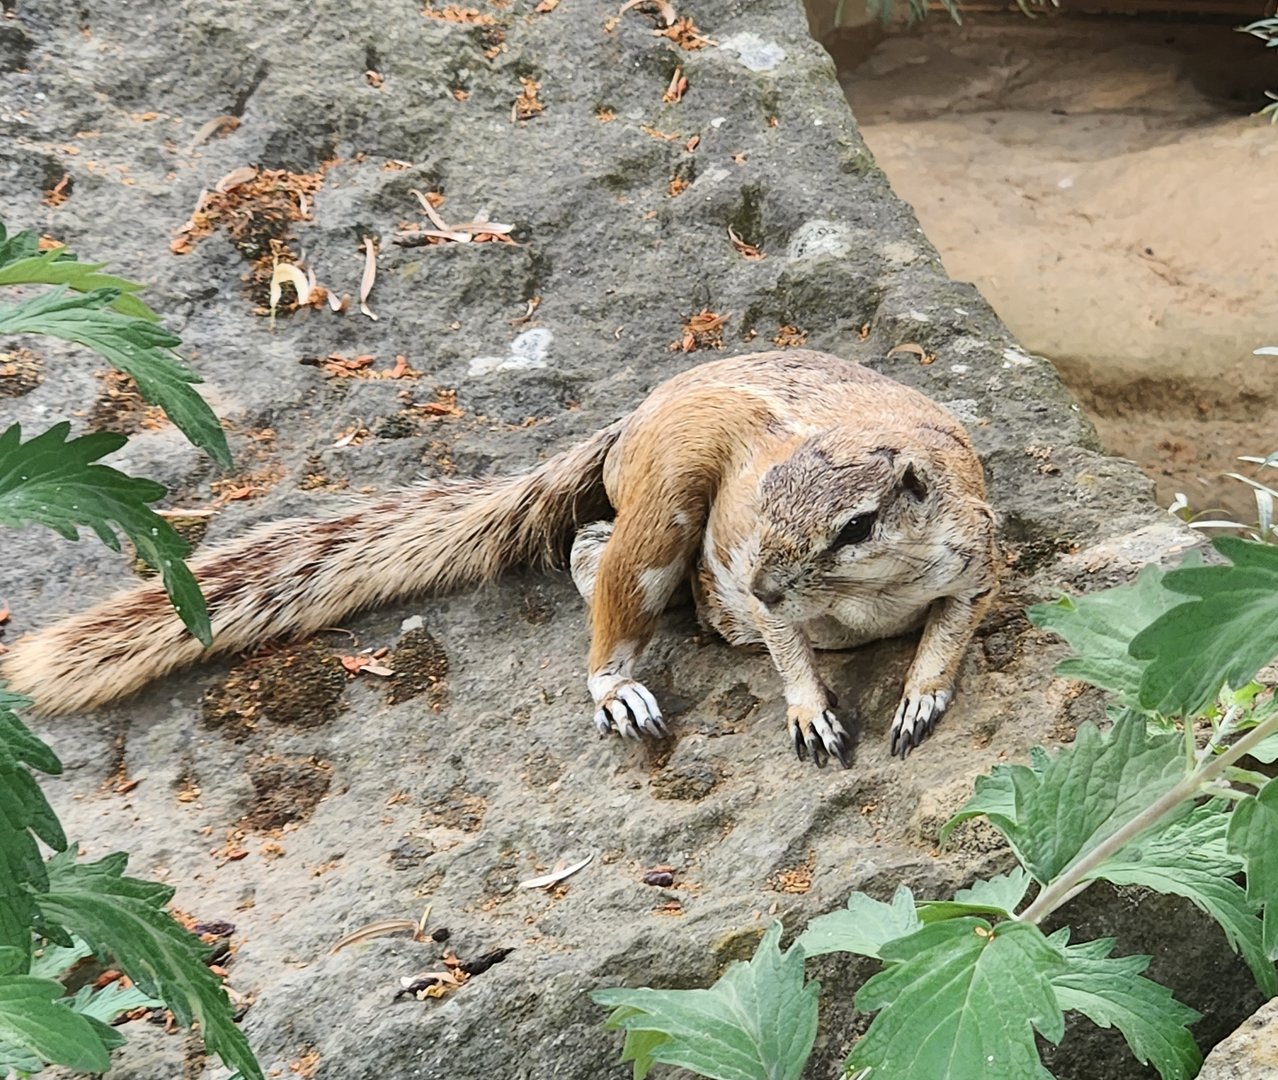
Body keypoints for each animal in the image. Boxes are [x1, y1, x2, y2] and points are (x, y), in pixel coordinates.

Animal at [0, 350, 998, 767]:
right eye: (762, 501)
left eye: (857, 526)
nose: (759, 580)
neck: (865, 596)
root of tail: (631, 420)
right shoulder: (764, 585)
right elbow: (789, 646)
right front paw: (810, 710)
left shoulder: (974, 559)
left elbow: (950, 633)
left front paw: (918, 699)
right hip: (669, 507)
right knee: (610, 571)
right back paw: (618, 688)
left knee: (593, 549)